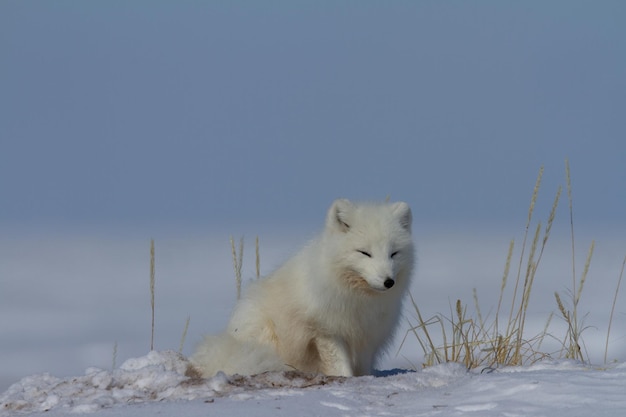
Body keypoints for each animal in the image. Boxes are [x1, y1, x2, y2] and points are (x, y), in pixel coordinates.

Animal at [190, 198, 414, 376]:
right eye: (364, 253)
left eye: (394, 253)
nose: (388, 282)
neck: (358, 300)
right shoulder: (326, 330)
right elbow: (340, 364)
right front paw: (345, 378)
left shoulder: (367, 336)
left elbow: (362, 367)